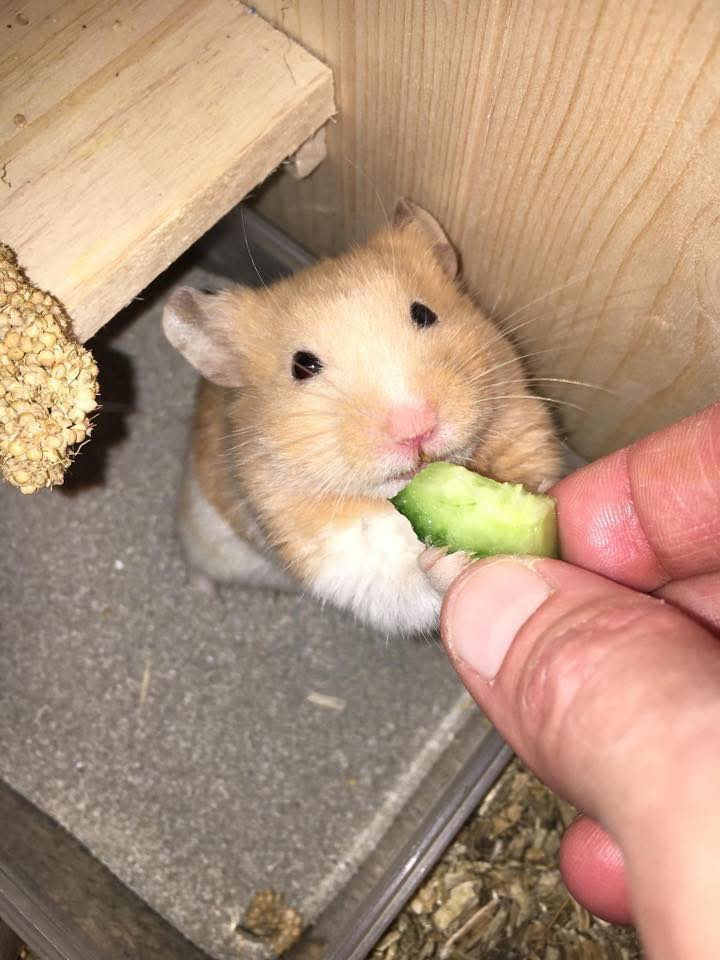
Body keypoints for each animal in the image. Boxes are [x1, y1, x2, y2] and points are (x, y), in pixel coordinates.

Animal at [162, 199, 563, 636]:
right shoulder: (338, 560)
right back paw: (204, 594)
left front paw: (538, 498)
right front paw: (452, 558)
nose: (416, 431)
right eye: (301, 366)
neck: (387, 498)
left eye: (424, 313)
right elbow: (402, 581)